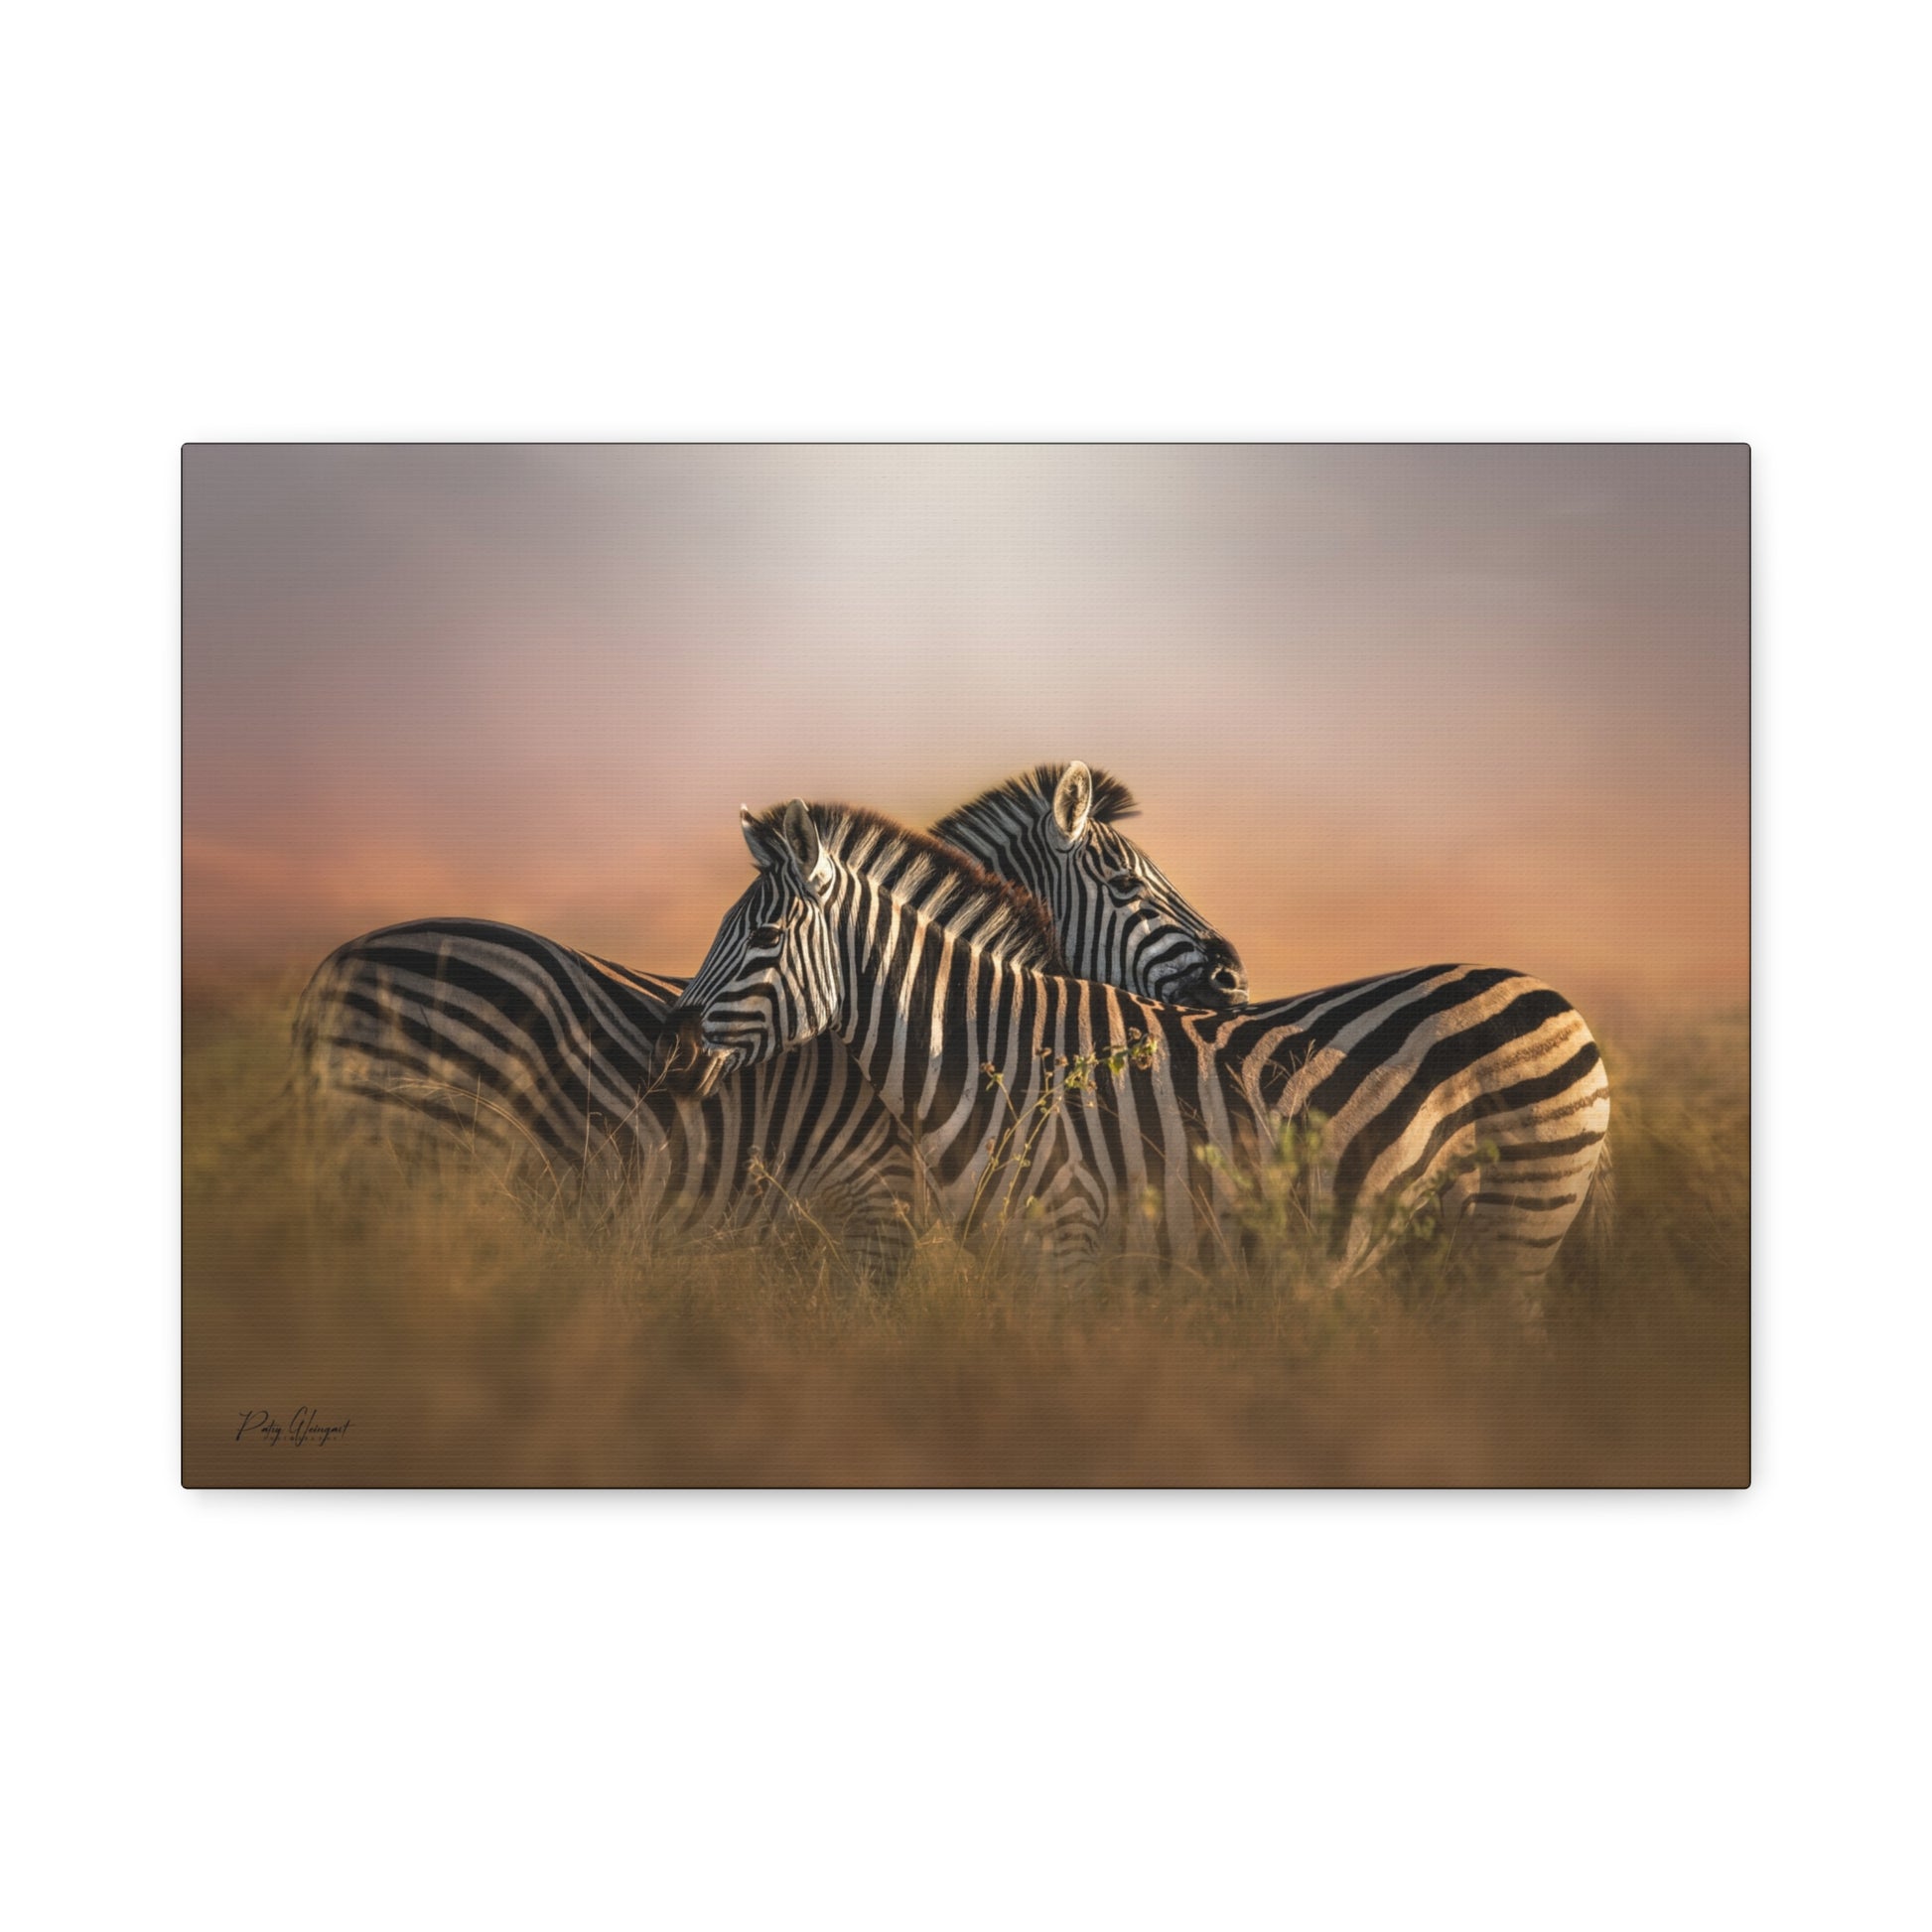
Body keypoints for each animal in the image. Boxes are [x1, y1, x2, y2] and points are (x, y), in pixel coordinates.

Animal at [660, 800, 1611, 1309]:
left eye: (766, 936)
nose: (669, 1051)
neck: (980, 1047)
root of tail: (1558, 1000)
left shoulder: (1066, 1245)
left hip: (1515, 1227)